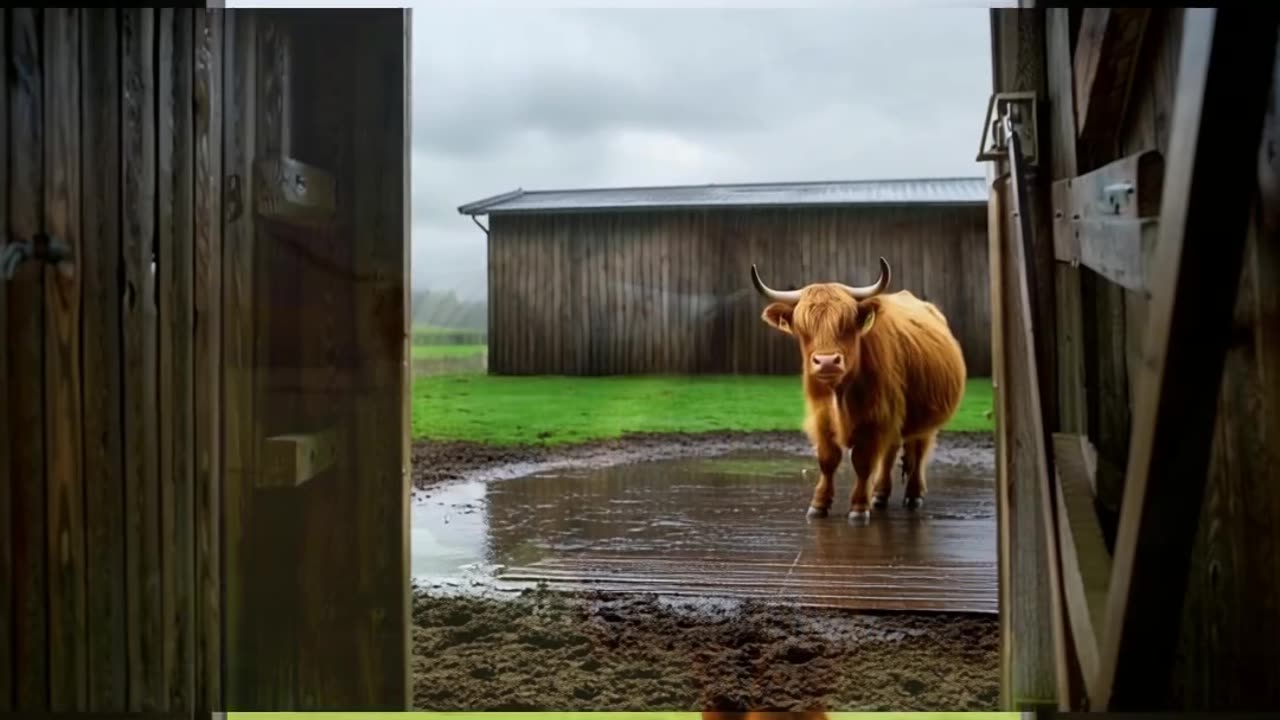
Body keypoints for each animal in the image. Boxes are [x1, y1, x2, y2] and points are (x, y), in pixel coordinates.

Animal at [750, 257, 966, 521]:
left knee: (918, 450)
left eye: (848, 323)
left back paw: (914, 494)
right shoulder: (823, 418)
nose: (827, 361)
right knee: (891, 451)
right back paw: (880, 494)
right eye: (803, 327)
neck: (840, 392)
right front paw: (819, 504)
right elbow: (828, 459)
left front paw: (859, 507)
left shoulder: (874, 419)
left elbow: (862, 463)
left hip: (925, 418)